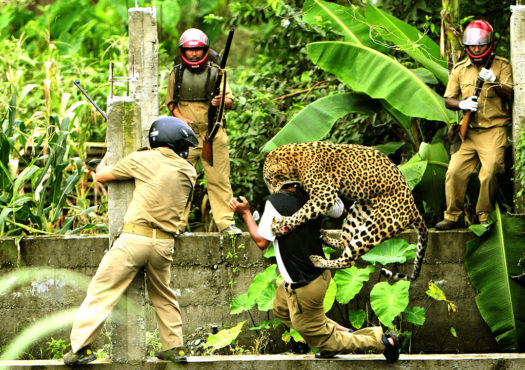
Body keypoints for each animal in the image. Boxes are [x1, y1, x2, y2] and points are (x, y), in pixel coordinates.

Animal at [264, 142, 428, 280]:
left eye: (268, 179)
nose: (271, 193)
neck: (295, 161)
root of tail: (414, 209)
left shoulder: (325, 195)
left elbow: (301, 213)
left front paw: (280, 225)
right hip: (359, 210)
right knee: (345, 242)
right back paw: (325, 237)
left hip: (375, 227)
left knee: (349, 260)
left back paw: (318, 260)